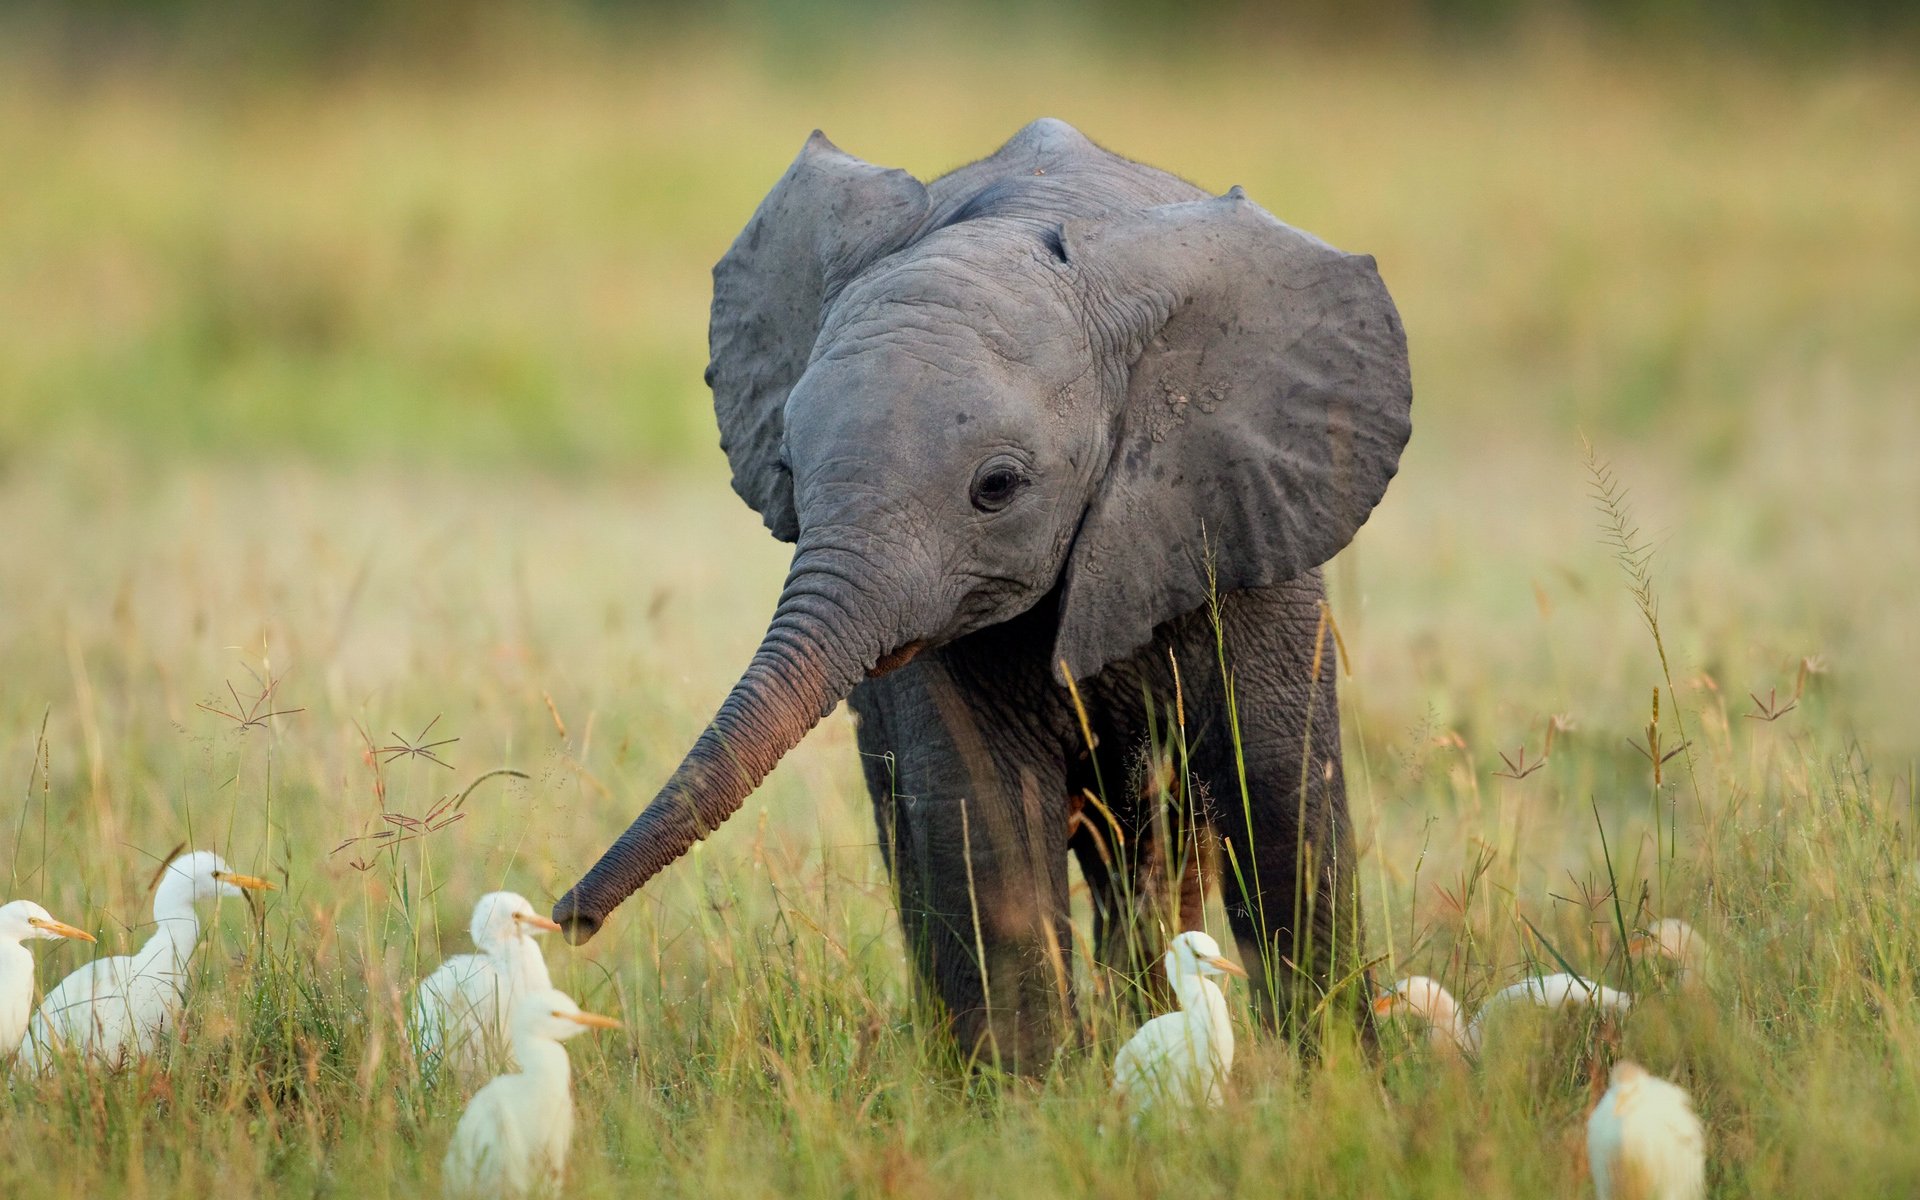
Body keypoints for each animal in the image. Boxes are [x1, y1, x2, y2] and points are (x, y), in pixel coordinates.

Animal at [554, 118, 1412, 1072]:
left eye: (996, 487)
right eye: (787, 470)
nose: (569, 921)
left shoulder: (1245, 513)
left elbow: (1282, 796)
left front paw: (1341, 1079)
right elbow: (981, 815)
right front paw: (1026, 1098)